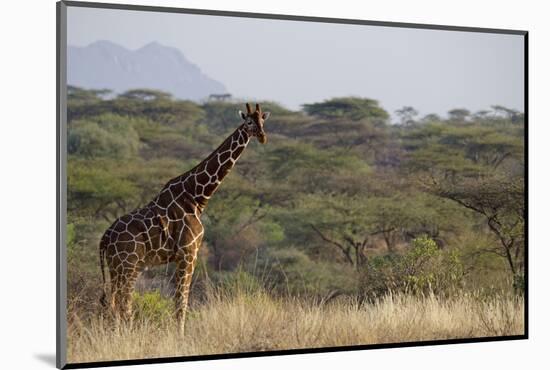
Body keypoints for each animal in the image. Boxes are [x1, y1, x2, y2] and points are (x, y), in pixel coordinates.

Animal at [100, 102, 272, 332]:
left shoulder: (182, 256)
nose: (262, 137)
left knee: (114, 302)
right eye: (249, 122)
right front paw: (180, 336)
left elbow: (179, 301)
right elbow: (181, 302)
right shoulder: (188, 253)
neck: (197, 196)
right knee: (122, 303)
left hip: (121, 266)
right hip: (127, 264)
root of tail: (104, 238)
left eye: (262, 120)